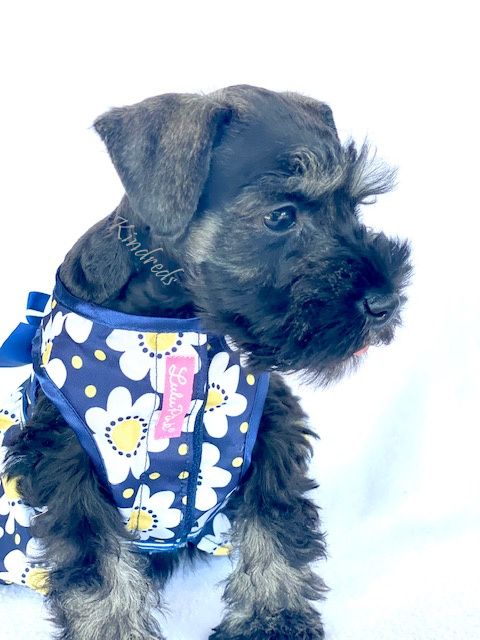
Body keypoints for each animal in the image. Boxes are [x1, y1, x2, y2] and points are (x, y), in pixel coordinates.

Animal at [0, 85, 411, 640]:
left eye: (354, 206)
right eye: (280, 216)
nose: (385, 302)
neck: (186, 326)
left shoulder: (269, 431)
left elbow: (273, 527)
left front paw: (275, 618)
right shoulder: (67, 461)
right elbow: (98, 569)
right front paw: (114, 629)